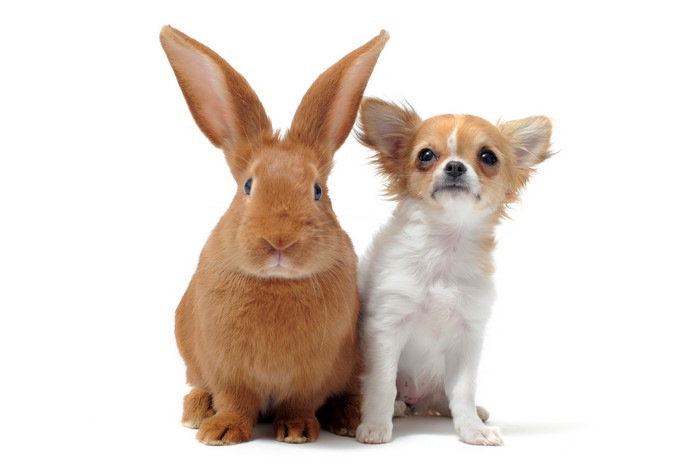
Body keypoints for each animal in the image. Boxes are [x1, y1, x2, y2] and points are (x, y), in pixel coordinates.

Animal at [159, 25, 389, 445]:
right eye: (248, 186)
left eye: (318, 191)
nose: (279, 241)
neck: (278, 283)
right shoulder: (226, 370)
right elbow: (234, 401)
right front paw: (220, 432)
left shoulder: (311, 375)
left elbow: (299, 402)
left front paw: (297, 431)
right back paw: (196, 412)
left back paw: (349, 417)